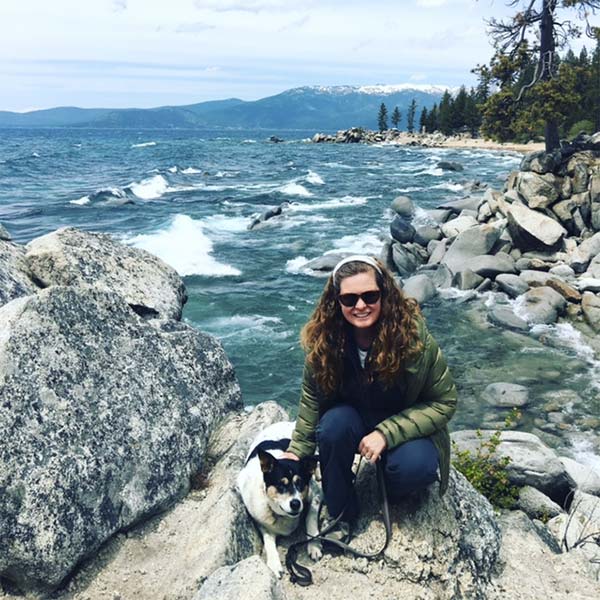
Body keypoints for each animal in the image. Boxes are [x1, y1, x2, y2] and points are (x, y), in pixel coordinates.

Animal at [237, 422, 326, 576]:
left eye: (300, 483)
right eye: (280, 485)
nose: (296, 504)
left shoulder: (315, 496)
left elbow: (310, 520)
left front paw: (314, 546)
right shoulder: (262, 523)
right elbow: (268, 541)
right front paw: (274, 563)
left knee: (317, 460)